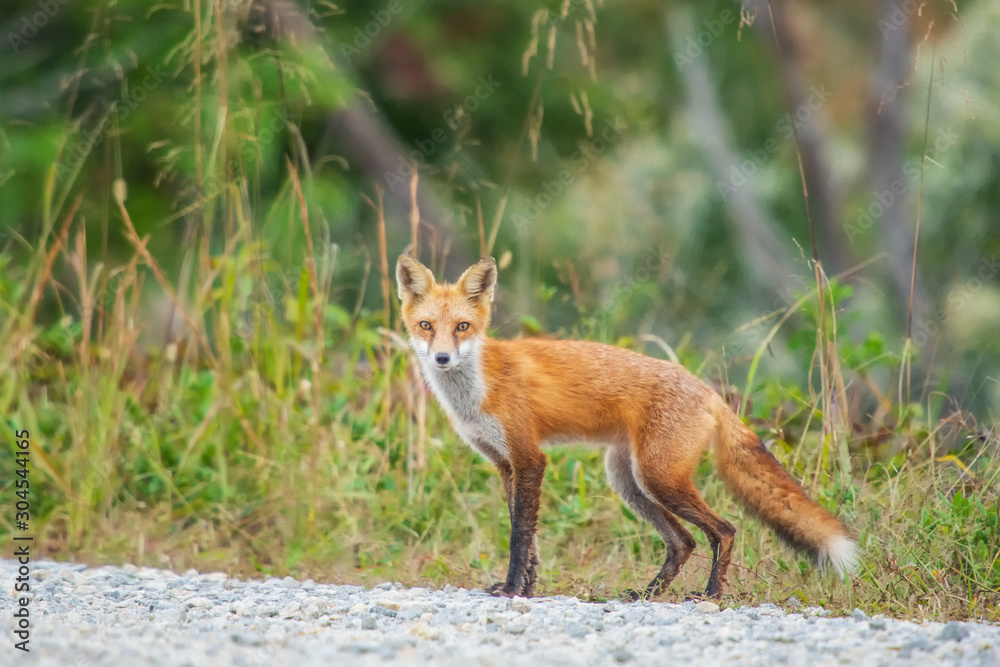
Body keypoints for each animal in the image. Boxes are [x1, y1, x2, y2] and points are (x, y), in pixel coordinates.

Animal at [394, 254, 856, 600]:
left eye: (462, 327)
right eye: (425, 327)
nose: (441, 359)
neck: (477, 389)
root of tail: (708, 390)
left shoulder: (529, 458)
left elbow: (519, 535)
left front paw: (511, 590)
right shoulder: (505, 464)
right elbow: (531, 540)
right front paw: (526, 588)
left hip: (659, 478)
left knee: (723, 530)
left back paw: (710, 594)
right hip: (629, 481)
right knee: (683, 541)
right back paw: (647, 594)